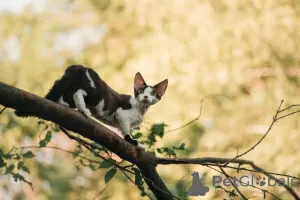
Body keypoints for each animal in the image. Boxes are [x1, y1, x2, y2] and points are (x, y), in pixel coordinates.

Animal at [17, 65, 168, 149]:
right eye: (141, 91)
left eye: (153, 94)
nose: (146, 97)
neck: (140, 108)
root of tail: (80, 67)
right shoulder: (122, 115)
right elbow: (126, 134)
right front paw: (136, 144)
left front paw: (139, 145)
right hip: (96, 94)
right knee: (78, 92)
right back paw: (83, 110)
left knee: (60, 88)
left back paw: (64, 104)